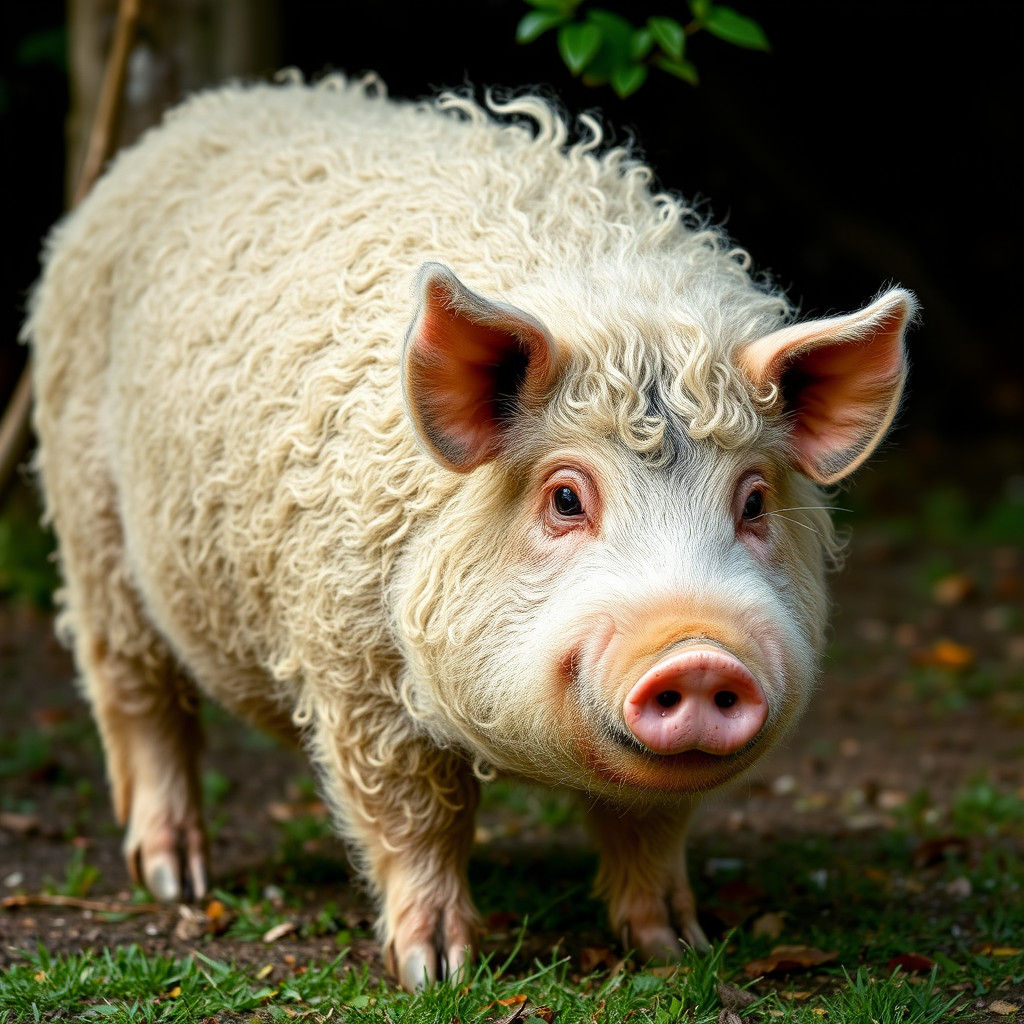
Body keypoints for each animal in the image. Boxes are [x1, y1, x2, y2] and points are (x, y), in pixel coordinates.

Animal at [25, 74, 915, 988]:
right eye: (566, 498)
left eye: (754, 502)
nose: (698, 654)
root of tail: (202, 111)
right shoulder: (354, 668)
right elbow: (414, 813)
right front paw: (437, 970)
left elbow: (649, 827)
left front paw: (677, 949)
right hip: (90, 519)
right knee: (135, 692)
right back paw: (175, 879)